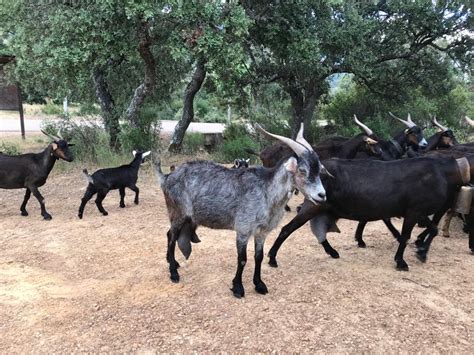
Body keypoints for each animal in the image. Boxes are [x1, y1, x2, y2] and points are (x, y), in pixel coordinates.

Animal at [156, 124, 326, 298]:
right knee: (172, 236)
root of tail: (167, 177)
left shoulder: (262, 232)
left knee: (170, 234)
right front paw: (238, 287)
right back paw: (173, 273)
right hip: (178, 212)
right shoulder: (243, 229)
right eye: (302, 170)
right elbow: (242, 259)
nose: (322, 195)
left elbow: (258, 257)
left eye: (319, 169)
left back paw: (173, 263)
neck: (267, 191)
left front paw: (259, 284)